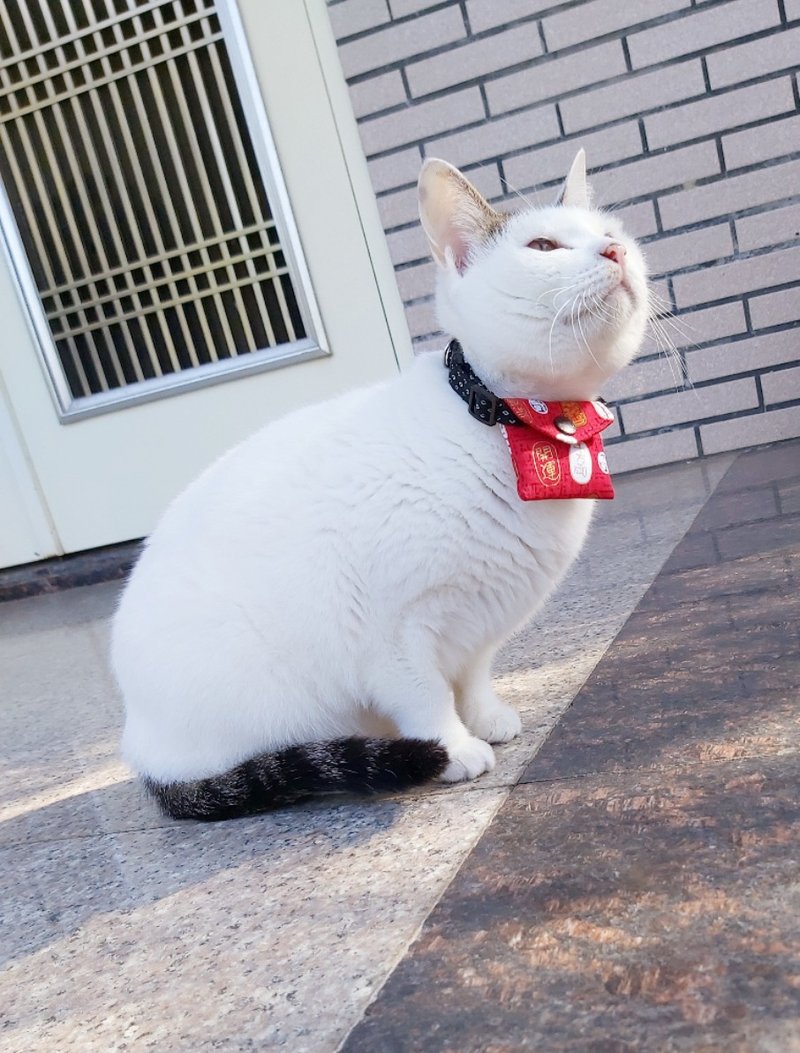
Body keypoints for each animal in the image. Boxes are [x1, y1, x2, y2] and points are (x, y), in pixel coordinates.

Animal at [111, 150, 648, 821]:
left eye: (613, 232)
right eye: (544, 246)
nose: (615, 251)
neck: (519, 427)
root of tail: (139, 747)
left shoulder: (478, 626)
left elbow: (471, 678)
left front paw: (484, 718)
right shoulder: (391, 634)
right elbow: (425, 697)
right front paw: (453, 748)